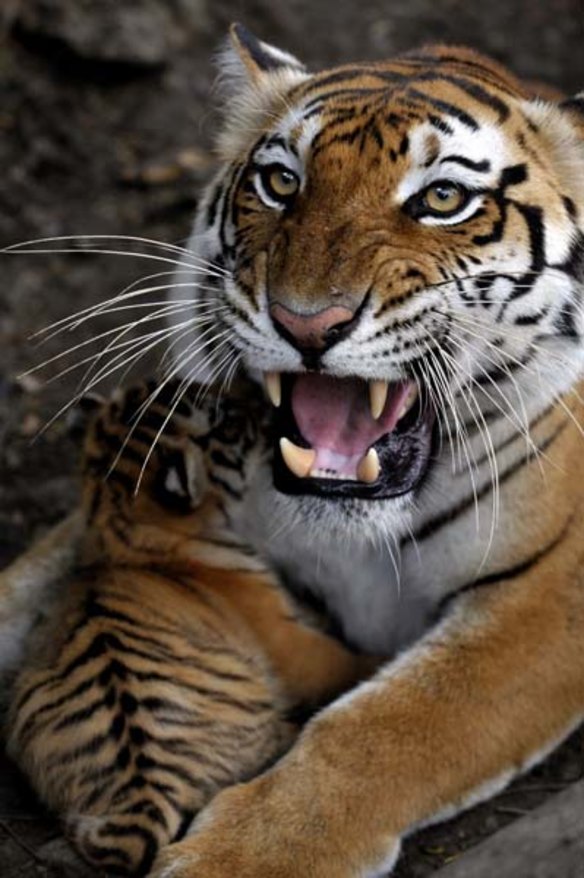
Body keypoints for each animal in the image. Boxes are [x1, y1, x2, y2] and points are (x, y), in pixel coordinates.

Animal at [5, 379, 375, 877]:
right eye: (228, 420)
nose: (261, 395)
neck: (116, 522)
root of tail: (142, 798)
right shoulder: (288, 641)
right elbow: (342, 658)